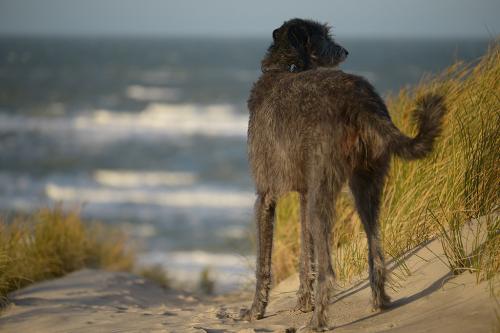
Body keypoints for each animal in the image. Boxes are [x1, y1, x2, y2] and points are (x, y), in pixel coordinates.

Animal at [242, 18, 446, 330]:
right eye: (323, 36)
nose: (345, 51)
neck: (286, 68)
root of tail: (360, 99)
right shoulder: (305, 192)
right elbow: (306, 254)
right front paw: (303, 301)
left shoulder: (265, 196)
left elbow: (263, 264)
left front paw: (256, 310)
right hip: (366, 183)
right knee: (375, 248)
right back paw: (380, 302)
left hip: (327, 188)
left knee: (329, 269)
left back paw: (318, 321)